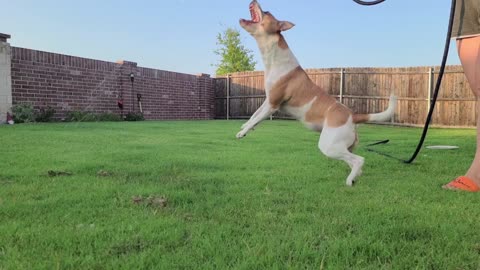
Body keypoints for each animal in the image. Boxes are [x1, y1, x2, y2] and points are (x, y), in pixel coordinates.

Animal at [237, 0, 398, 186]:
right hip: (341, 147)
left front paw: (242, 132)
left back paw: (349, 181)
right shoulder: (267, 100)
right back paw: (354, 177)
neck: (275, 58)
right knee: (353, 161)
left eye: (267, 12)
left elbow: (256, 118)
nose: (254, 1)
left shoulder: (273, 104)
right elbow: (254, 115)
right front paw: (245, 127)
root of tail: (352, 116)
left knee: (359, 160)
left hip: (329, 146)